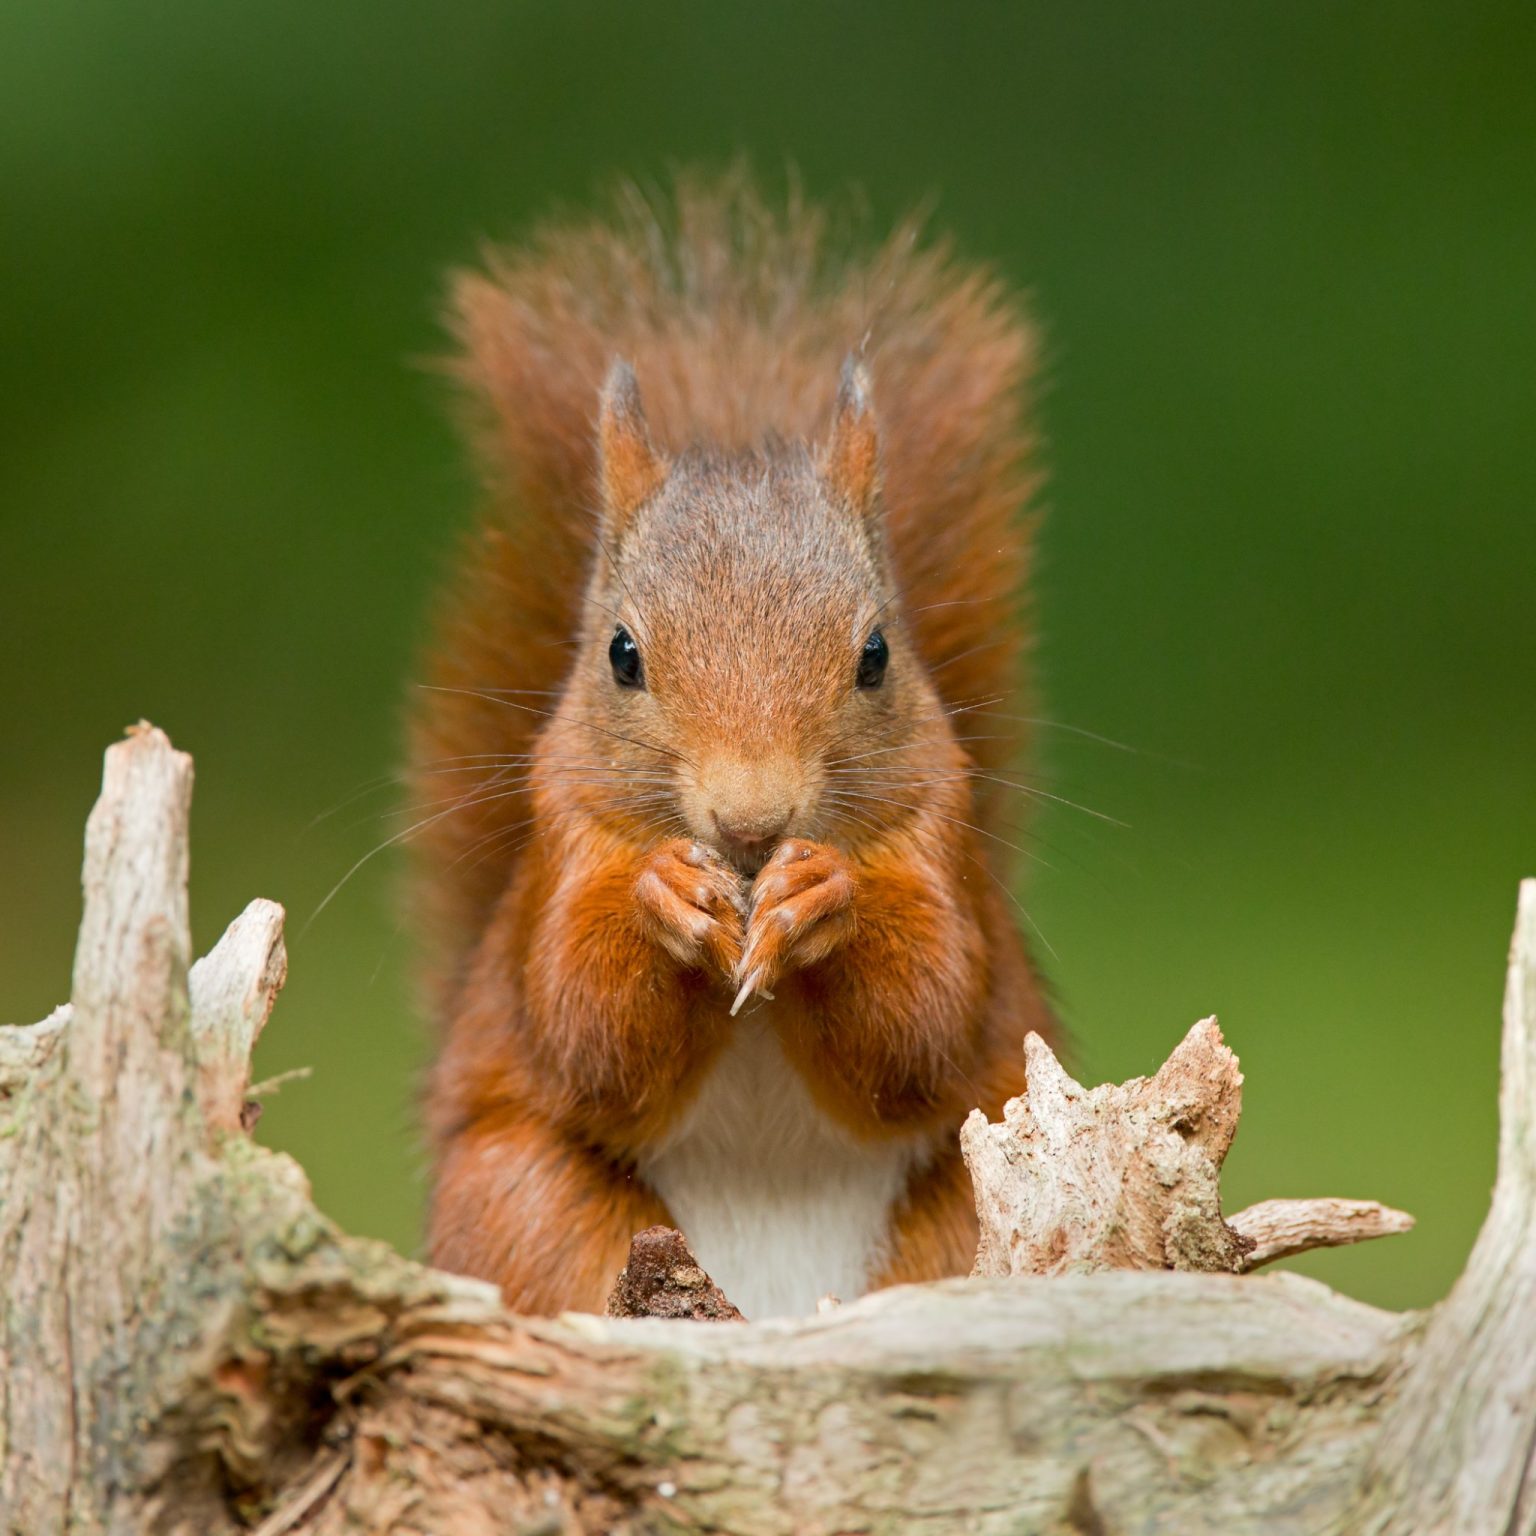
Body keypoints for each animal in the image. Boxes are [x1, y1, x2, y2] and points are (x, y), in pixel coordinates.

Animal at [411, 173, 1056, 1319]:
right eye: (622, 654)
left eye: (876, 655)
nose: (751, 822)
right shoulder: (561, 845)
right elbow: (583, 1023)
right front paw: (668, 895)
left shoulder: (943, 840)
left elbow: (927, 1019)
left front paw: (822, 895)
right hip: (524, 1200)